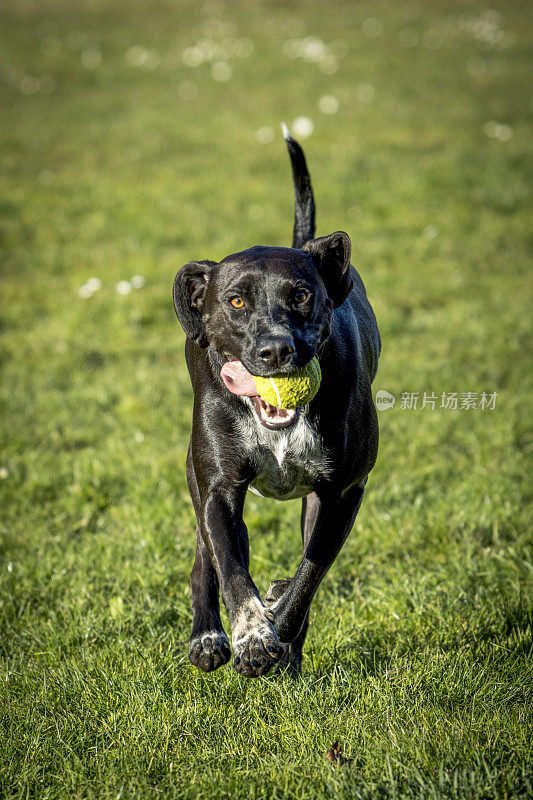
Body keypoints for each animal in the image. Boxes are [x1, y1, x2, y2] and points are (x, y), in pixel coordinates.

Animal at [174, 125, 378, 676]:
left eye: (302, 295)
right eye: (236, 300)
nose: (276, 351)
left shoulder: (342, 492)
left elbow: (309, 575)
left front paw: (279, 631)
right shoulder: (219, 489)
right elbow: (229, 567)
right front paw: (249, 635)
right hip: (197, 477)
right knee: (207, 557)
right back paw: (207, 635)